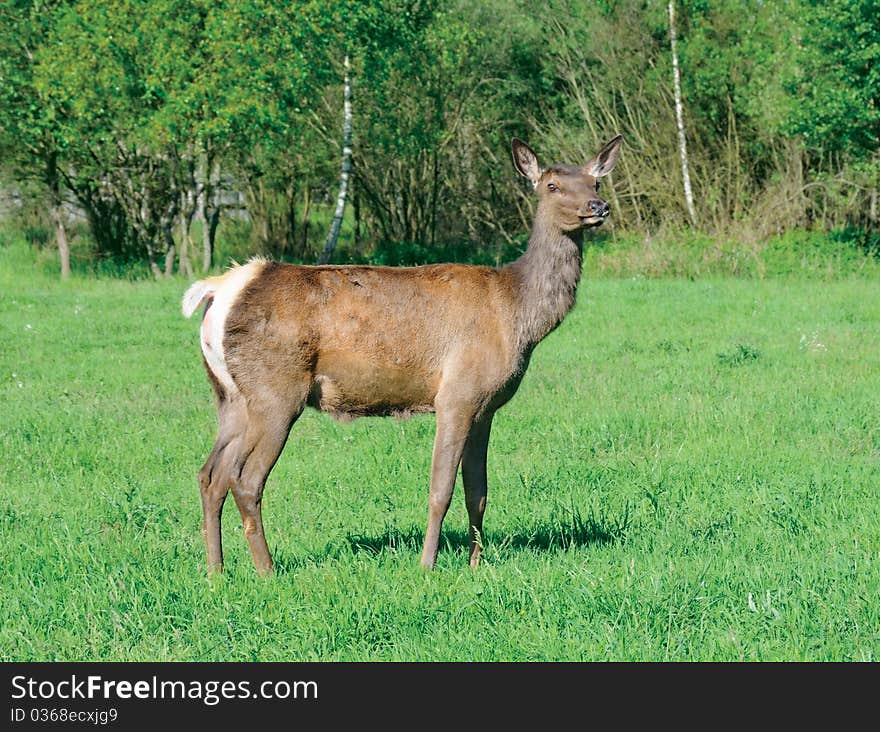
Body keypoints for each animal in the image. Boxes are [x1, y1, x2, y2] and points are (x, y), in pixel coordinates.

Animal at [182, 134, 624, 576]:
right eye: (552, 186)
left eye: (595, 182)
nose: (598, 207)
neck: (516, 313)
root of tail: (220, 289)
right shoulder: (456, 395)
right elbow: (440, 489)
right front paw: (427, 565)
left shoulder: (485, 406)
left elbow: (478, 491)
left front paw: (475, 564)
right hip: (275, 390)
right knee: (245, 478)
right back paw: (267, 570)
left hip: (230, 396)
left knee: (210, 474)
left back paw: (215, 571)